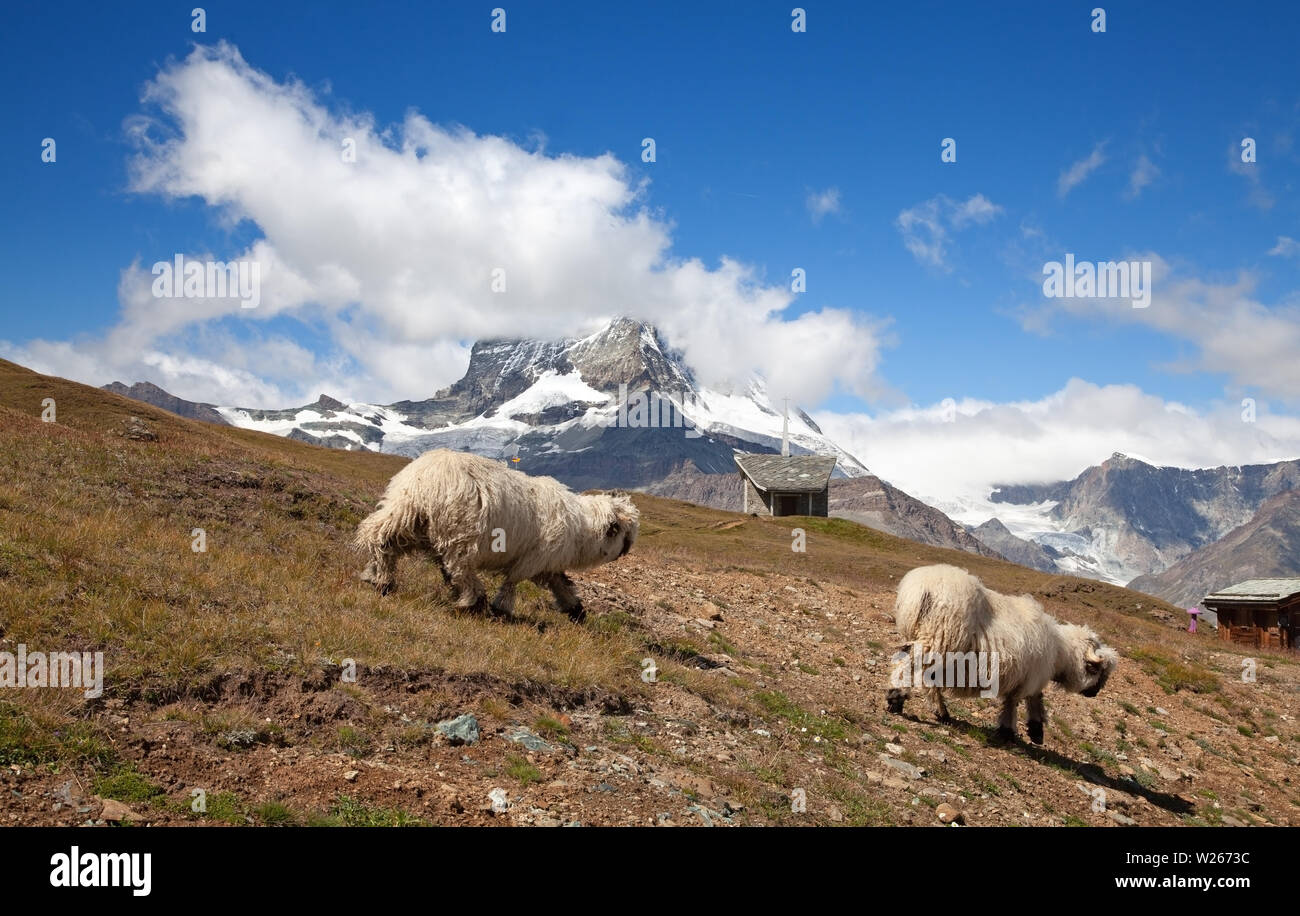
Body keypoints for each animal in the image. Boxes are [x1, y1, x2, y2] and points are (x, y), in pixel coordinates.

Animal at [355, 449, 639, 621]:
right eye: (625, 534)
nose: (625, 552)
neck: (582, 528)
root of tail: (424, 480)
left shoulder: (548, 565)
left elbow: (562, 585)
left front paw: (577, 611)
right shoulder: (533, 559)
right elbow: (512, 582)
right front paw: (500, 609)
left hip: (405, 516)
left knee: (380, 539)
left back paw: (379, 579)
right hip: (461, 532)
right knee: (460, 568)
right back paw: (473, 601)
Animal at [884, 564, 1118, 744]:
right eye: (1095, 669)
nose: (1094, 693)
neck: (1060, 652)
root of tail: (919, 588)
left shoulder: (1024, 677)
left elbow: (1027, 700)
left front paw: (1033, 731)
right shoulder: (1030, 677)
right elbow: (1020, 702)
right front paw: (1021, 731)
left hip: (933, 640)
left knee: (920, 671)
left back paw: (939, 712)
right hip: (939, 637)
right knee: (909, 662)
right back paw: (897, 698)